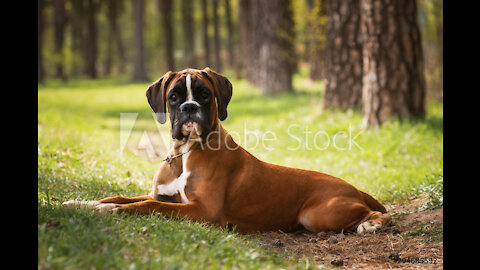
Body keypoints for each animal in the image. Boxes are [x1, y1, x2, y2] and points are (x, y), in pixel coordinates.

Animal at [63, 67, 392, 234]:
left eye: (205, 95)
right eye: (173, 97)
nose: (189, 107)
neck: (185, 153)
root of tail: (354, 188)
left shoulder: (203, 211)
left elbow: (147, 206)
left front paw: (111, 210)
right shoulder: (165, 195)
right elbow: (122, 196)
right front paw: (82, 203)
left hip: (317, 214)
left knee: (379, 213)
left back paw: (372, 224)